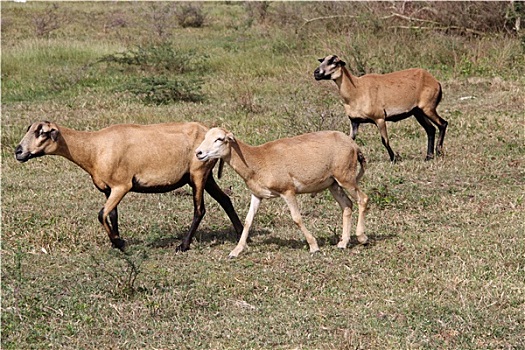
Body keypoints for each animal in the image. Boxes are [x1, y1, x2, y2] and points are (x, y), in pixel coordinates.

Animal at [14, 121, 244, 250]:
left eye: (42, 133)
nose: (18, 152)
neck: (93, 148)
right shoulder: (108, 189)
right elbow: (112, 214)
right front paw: (116, 242)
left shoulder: (122, 185)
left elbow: (101, 214)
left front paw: (119, 242)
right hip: (203, 176)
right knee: (225, 199)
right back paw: (240, 232)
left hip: (198, 173)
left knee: (199, 209)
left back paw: (184, 245)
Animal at [193, 127, 368, 258]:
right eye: (205, 136)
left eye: (219, 139)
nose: (198, 153)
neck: (256, 159)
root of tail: (353, 144)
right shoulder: (257, 195)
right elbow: (248, 221)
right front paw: (235, 251)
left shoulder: (288, 191)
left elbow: (296, 218)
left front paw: (314, 246)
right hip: (333, 183)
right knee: (347, 205)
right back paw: (343, 243)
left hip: (346, 178)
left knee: (363, 199)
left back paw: (362, 237)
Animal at [314, 54, 448, 161]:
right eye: (322, 60)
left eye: (334, 62)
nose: (316, 73)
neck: (356, 90)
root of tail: (436, 82)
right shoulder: (354, 121)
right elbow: (350, 139)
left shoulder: (379, 118)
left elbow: (385, 140)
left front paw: (394, 159)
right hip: (418, 111)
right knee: (431, 129)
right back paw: (428, 157)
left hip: (428, 107)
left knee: (443, 123)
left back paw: (438, 152)